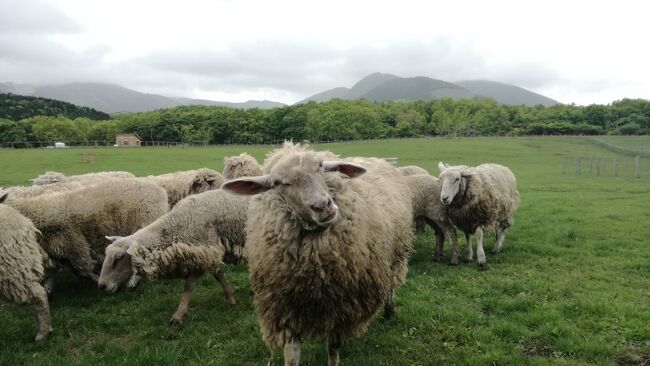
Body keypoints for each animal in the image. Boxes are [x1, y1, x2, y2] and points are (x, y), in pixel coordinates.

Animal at [97, 189, 248, 324]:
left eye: (119, 257)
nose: (102, 286)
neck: (180, 223)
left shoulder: (204, 250)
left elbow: (189, 285)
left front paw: (178, 315)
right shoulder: (207, 253)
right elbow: (218, 275)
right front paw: (231, 297)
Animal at [220, 142, 412, 366]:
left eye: (320, 165)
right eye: (278, 183)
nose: (322, 206)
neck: (314, 271)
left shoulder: (341, 308)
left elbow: (333, 347)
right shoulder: (285, 309)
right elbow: (291, 354)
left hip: (397, 254)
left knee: (392, 283)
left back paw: (390, 310)